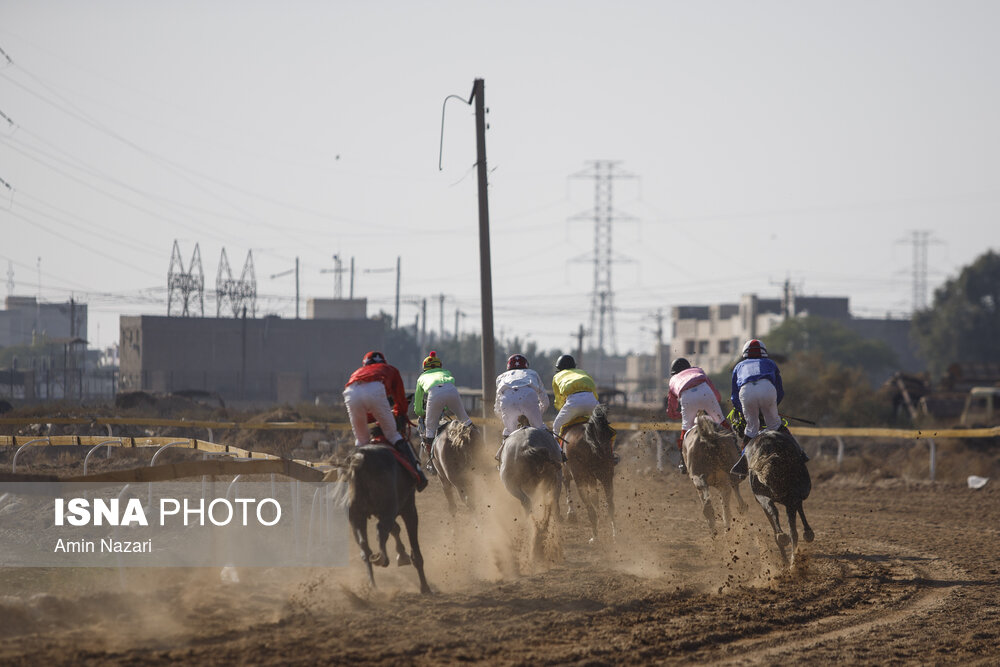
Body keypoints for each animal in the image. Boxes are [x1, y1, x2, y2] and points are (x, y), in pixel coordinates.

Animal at [560, 408, 612, 544]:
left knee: (590, 510)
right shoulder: (592, 478)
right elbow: (595, 497)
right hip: (607, 476)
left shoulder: (566, 473)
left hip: (580, 479)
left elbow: (567, 487)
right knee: (611, 506)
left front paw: (571, 514)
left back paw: (595, 537)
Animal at [748, 428, 816, 564]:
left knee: (774, 511)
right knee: (792, 530)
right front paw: (807, 532)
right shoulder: (795, 495)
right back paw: (792, 559)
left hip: (765, 495)